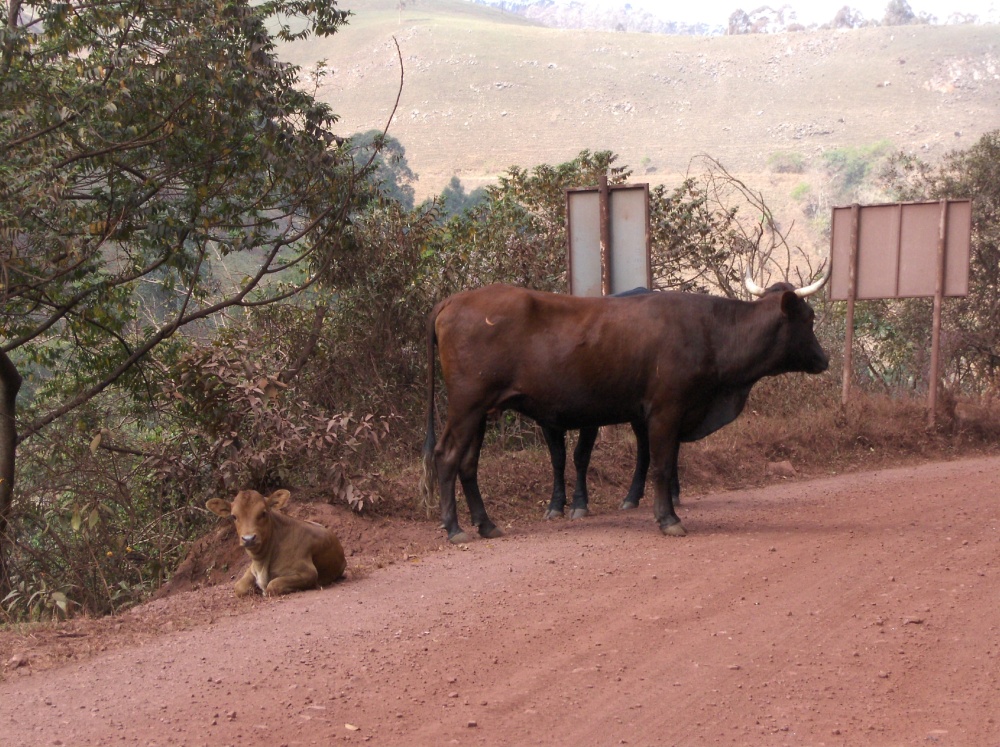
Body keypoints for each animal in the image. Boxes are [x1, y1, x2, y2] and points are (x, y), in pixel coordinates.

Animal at [205, 488, 346, 600]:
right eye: (234, 516)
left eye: (263, 513)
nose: (249, 539)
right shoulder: (251, 568)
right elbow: (239, 587)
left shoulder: (308, 572)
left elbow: (272, 585)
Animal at [420, 278, 828, 548]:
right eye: (809, 318)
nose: (824, 359)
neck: (712, 332)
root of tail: (454, 300)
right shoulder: (666, 409)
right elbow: (661, 465)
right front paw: (668, 518)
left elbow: (666, 463)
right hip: (466, 404)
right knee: (447, 456)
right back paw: (454, 527)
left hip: (481, 411)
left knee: (468, 463)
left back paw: (486, 524)